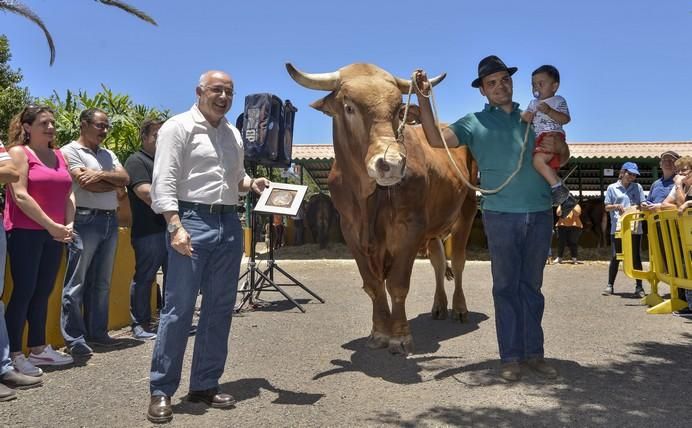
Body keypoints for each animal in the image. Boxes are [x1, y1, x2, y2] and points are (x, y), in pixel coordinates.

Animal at [290, 61, 478, 354]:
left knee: (457, 261)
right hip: (435, 226)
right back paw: (439, 306)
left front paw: (399, 336)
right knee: (438, 261)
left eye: (399, 110)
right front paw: (379, 332)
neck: (368, 198)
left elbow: (397, 284)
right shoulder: (351, 231)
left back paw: (459, 308)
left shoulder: (410, 228)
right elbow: (373, 285)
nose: (391, 164)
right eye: (349, 107)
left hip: (467, 209)